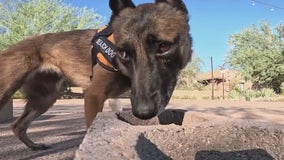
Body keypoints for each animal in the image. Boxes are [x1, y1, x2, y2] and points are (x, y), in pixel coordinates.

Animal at [0, 0, 193, 150]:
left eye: (163, 46)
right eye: (123, 53)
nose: (143, 113)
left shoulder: (116, 99)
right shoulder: (94, 95)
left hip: (45, 98)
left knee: (18, 126)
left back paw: (34, 145)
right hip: (8, 91)